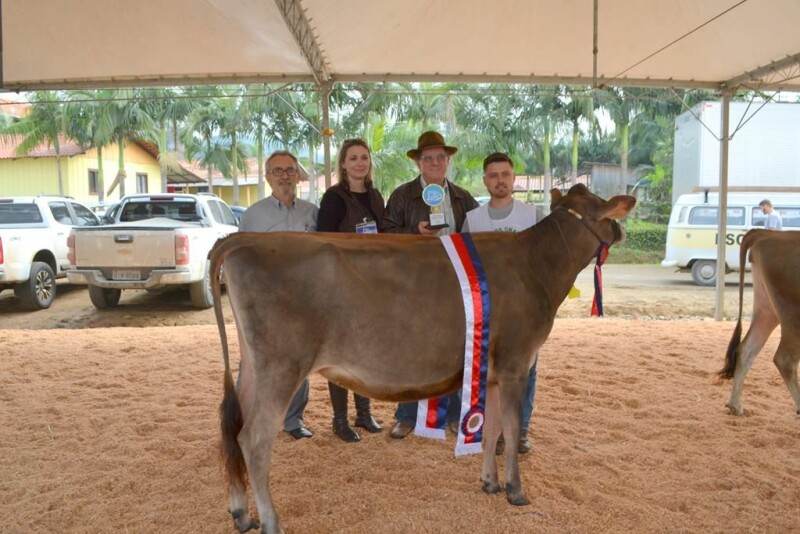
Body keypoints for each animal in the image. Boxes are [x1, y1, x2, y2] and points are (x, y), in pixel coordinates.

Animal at [214, 185, 636, 534]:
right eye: (607, 209)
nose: (621, 231)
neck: (537, 266)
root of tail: (241, 241)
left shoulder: (493, 371)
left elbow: (492, 429)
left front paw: (489, 483)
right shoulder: (517, 362)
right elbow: (512, 430)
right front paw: (516, 491)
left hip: (253, 367)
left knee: (232, 429)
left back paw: (241, 514)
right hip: (281, 367)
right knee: (254, 439)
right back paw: (271, 522)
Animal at [720, 228, 800, 416]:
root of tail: (767, 233)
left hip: (766, 310)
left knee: (746, 349)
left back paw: (735, 406)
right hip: (793, 314)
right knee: (785, 359)